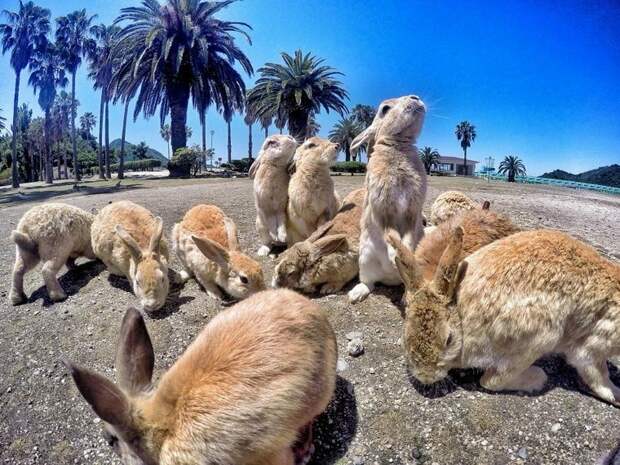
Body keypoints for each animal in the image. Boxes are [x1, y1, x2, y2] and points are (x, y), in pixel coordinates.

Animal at [346, 96, 428, 302]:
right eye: (385, 109)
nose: (415, 98)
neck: (398, 145)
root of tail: (390, 280)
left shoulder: (412, 211)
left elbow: (407, 233)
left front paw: (405, 253)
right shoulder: (383, 210)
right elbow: (389, 232)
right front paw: (394, 257)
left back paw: (407, 296)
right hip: (365, 260)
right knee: (369, 283)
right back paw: (355, 295)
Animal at [388, 228, 620, 406]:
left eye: (449, 339)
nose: (425, 378)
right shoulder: (593, 346)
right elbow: (598, 375)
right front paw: (616, 395)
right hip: (541, 335)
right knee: (491, 380)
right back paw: (538, 378)